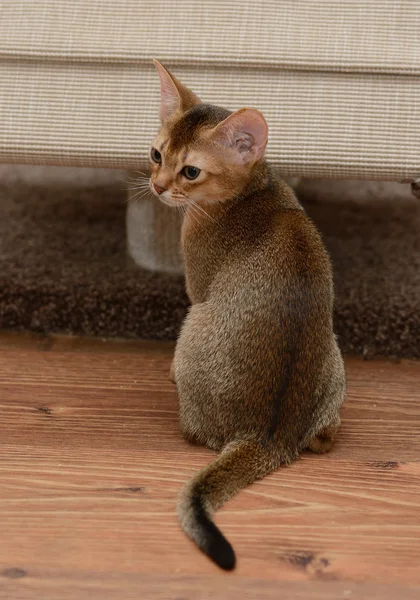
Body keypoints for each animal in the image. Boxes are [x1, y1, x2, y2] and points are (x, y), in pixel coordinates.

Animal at [149, 61, 346, 572]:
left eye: (190, 171)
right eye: (156, 154)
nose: (156, 185)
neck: (254, 190)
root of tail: (268, 437)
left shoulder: (196, 287)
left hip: (193, 327)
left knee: (196, 434)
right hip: (336, 358)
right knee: (325, 439)